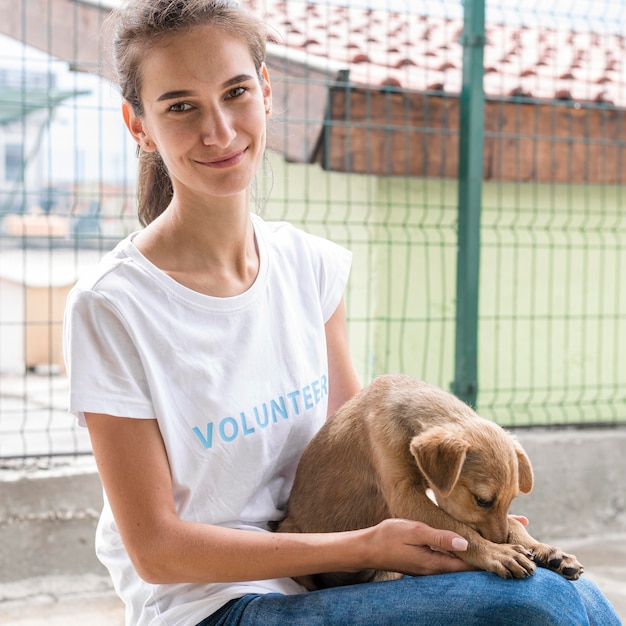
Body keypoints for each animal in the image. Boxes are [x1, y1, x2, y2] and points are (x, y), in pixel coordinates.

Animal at [276, 372, 584, 588]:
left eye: (512, 500)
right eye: (482, 500)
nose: (499, 541)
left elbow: (510, 523)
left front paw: (546, 550)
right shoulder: (405, 497)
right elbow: (461, 531)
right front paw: (497, 553)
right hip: (290, 533)